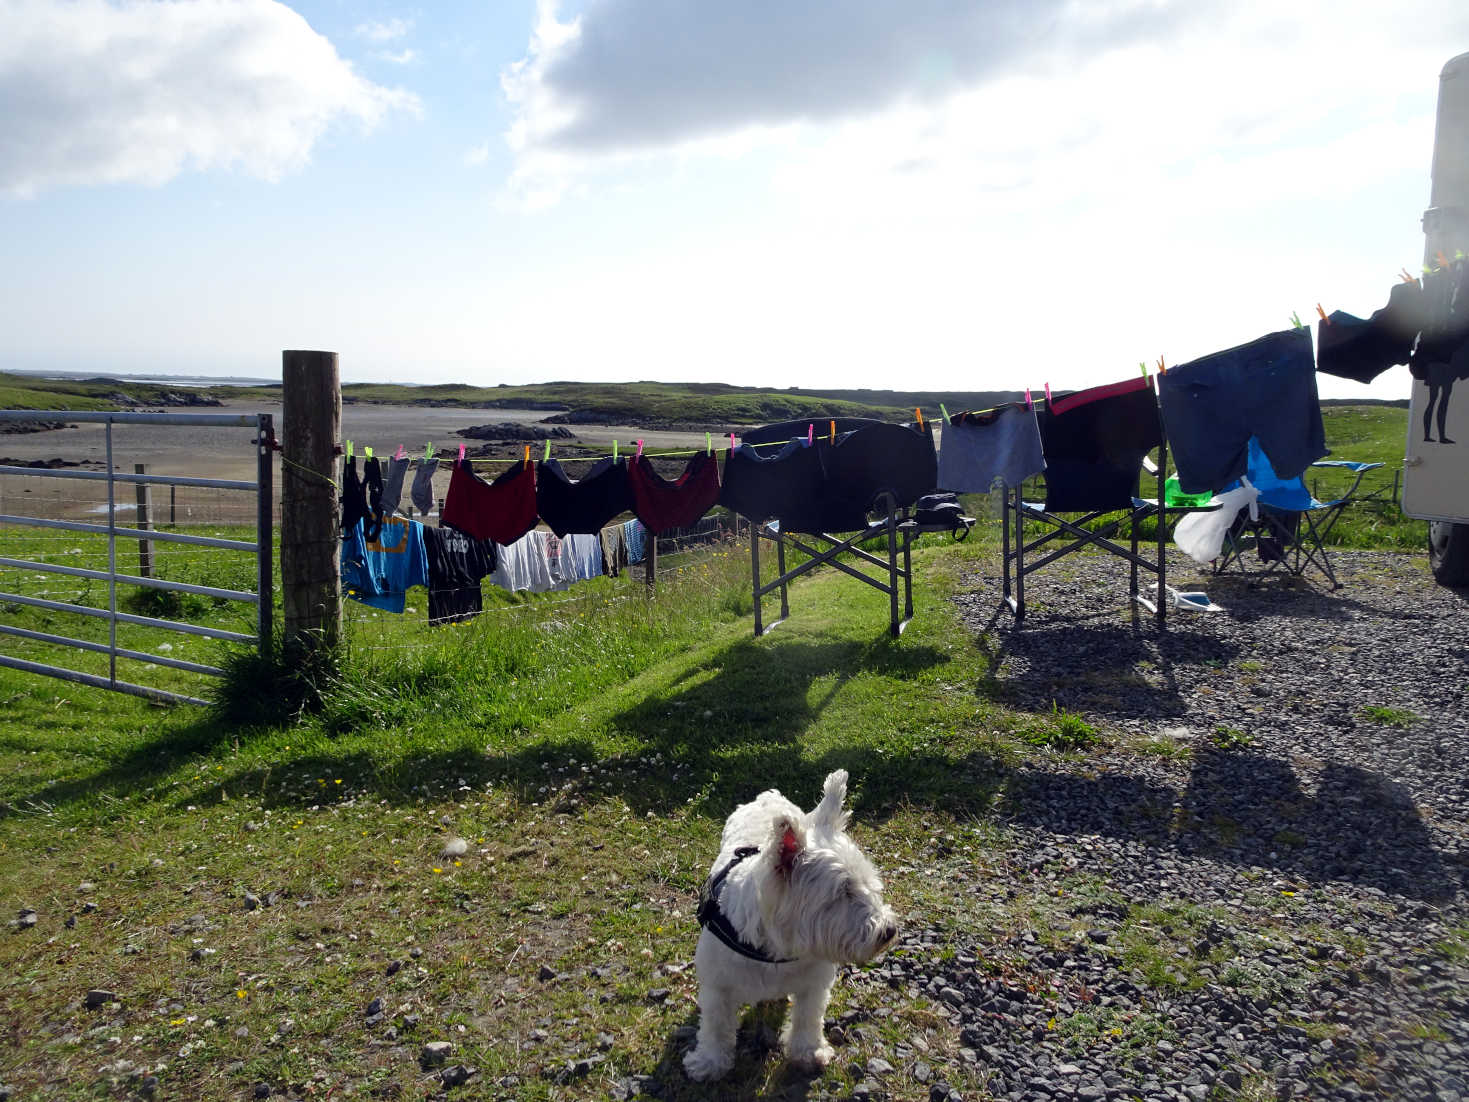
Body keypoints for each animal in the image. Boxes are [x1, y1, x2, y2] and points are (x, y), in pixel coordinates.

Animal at [684, 769, 899, 1081]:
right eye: (843, 891)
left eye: (869, 884)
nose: (888, 931)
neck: (777, 949)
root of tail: (769, 795)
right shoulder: (717, 986)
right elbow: (715, 1026)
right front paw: (709, 1062)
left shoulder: (814, 983)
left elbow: (808, 1018)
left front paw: (809, 1052)